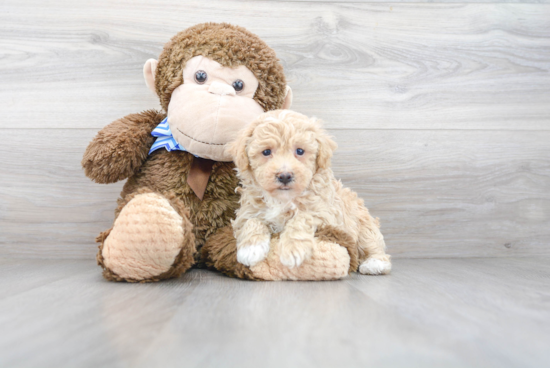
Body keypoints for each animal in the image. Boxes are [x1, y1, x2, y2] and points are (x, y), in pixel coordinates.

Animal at [229, 110, 392, 274]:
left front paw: (293, 249)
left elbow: (302, 217)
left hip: (363, 224)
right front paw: (250, 249)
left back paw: (375, 263)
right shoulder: (247, 212)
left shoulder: (325, 214)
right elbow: (252, 221)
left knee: (372, 243)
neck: (283, 199)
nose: (285, 176)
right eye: (266, 151)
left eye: (300, 151)